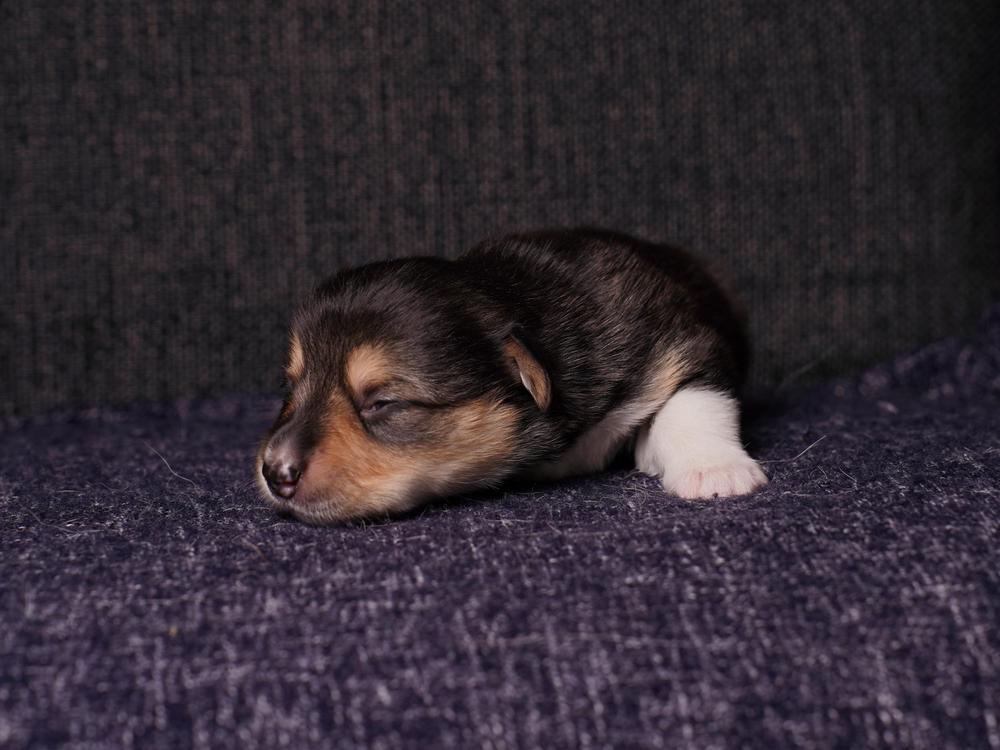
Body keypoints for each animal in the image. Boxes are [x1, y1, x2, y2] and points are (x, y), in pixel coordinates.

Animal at [256, 228, 767, 524]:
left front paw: (712, 471)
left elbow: (696, 398)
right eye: (290, 386)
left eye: (383, 403)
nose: (275, 473)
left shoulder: (686, 338)